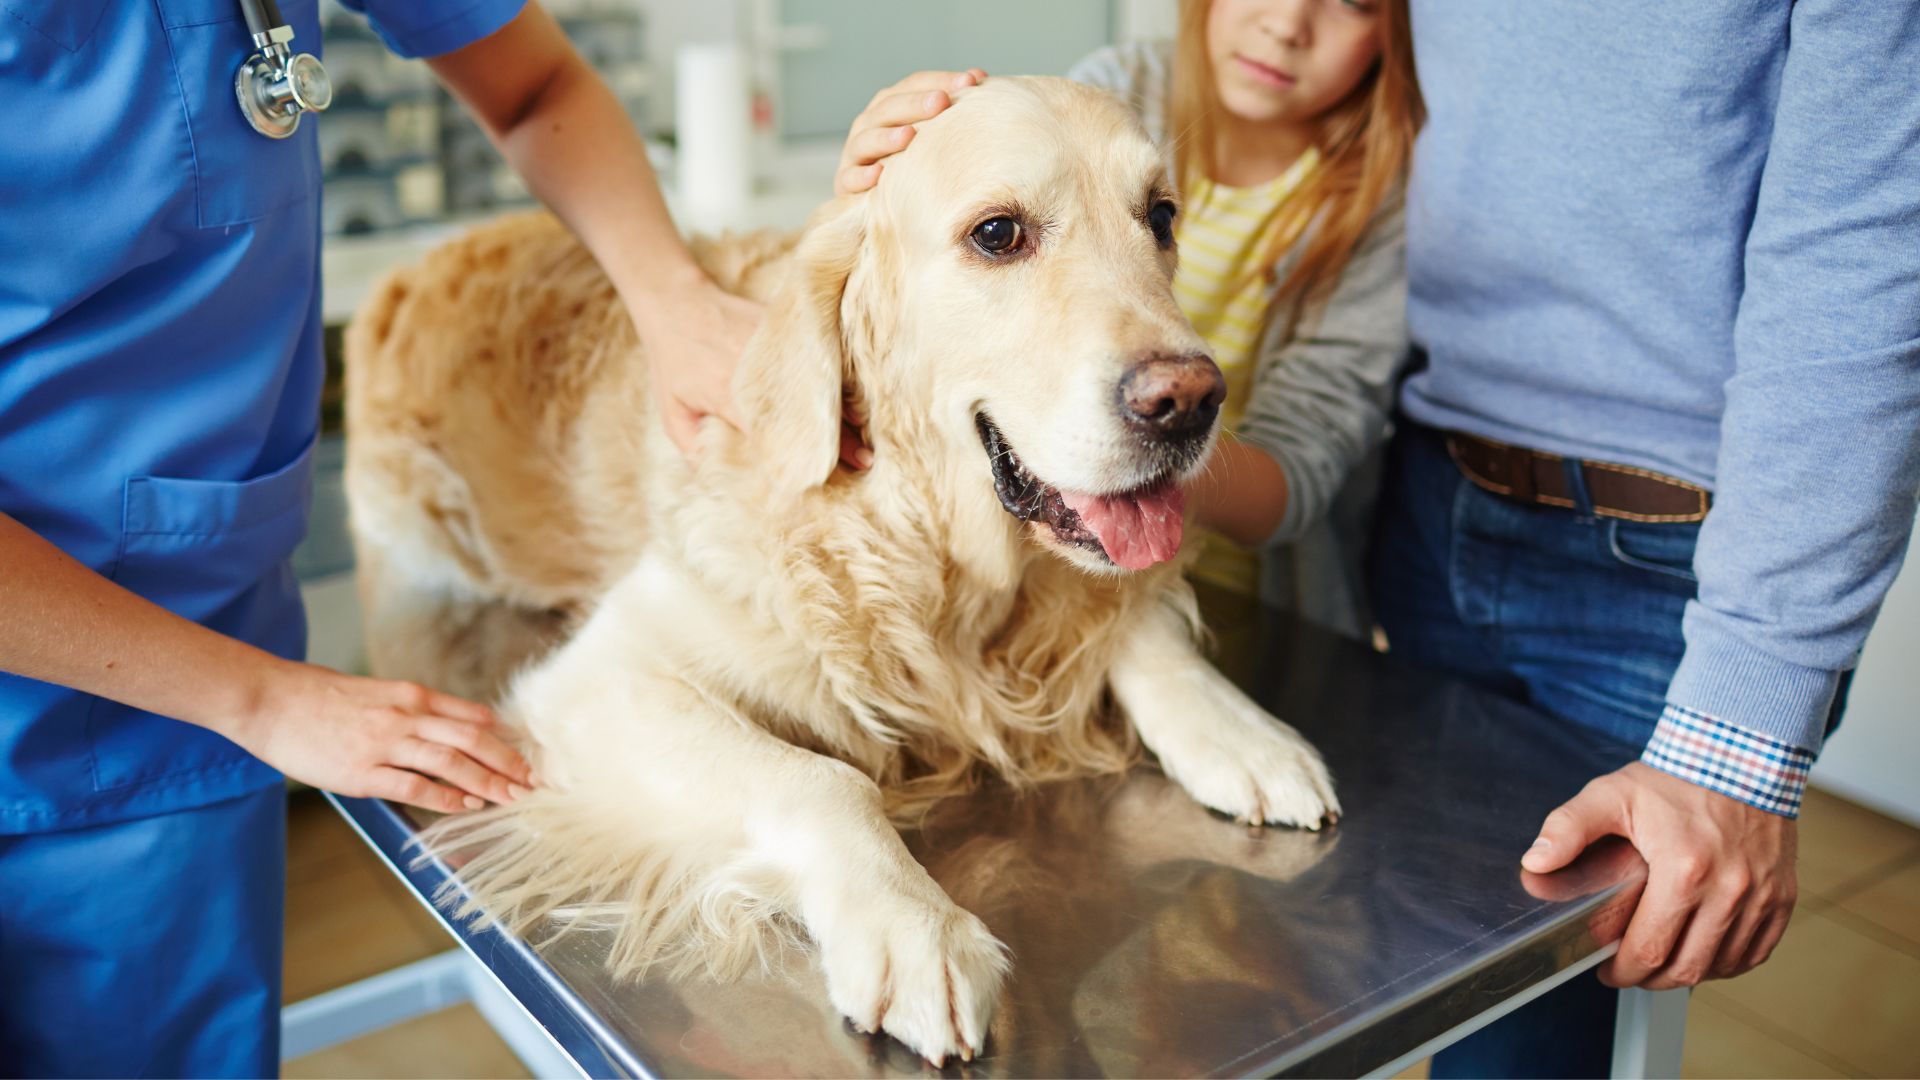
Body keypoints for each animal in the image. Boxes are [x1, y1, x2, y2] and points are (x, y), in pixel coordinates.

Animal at [345, 73, 1336, 1060]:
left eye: (1162, 216)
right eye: (998, 234)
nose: (1190, 402)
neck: (926, 548)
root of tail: (429, 253)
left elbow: (1146, 634)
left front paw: (1241, 733)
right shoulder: (601, 677)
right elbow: (823, 780)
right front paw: (915, 926)